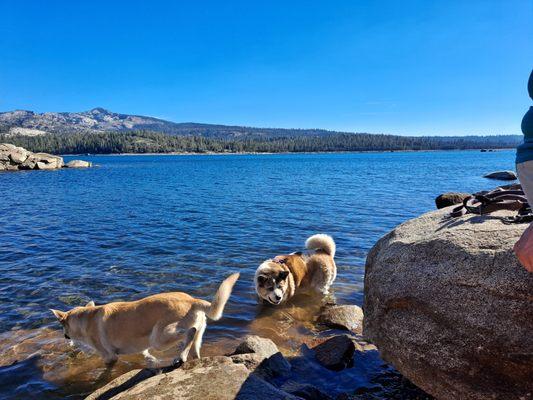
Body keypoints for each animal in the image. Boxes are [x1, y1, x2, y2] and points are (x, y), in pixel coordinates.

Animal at [50, 272, 239, 368]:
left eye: (62, 326)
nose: (64, 336)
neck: (86, 317)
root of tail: (192, 300)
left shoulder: (109, 356)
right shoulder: (141, 348)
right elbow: (146, 354)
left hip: (159, 338)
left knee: (189, 333)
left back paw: (180, 357)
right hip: (195, 334)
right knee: (195, 345)